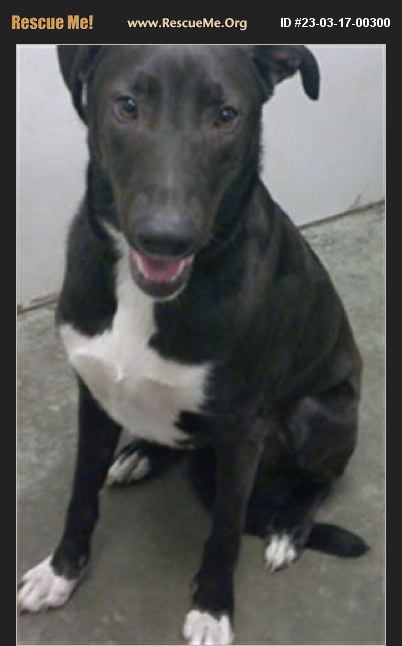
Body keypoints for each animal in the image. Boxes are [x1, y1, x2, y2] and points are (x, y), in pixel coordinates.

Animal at [18, 45, 368, 645]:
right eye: (126, 105)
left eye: (226, 115)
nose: (166, 238)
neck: (142, 296)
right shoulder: (92, 394)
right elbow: (80, 494)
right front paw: (61, 572)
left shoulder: (244, 430)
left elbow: (224, 532)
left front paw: (212, 608)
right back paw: (140, 454)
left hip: (319, 410)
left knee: (323, 476)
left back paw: (287, 529)